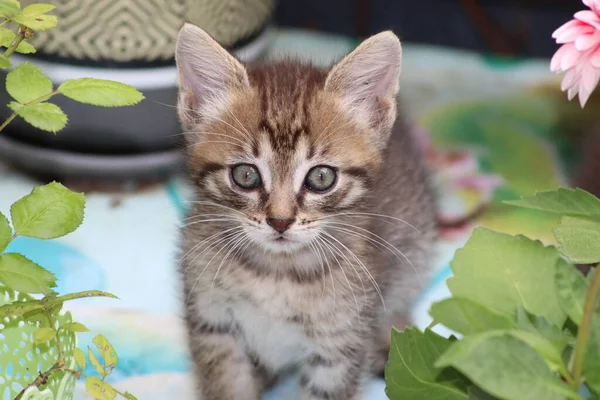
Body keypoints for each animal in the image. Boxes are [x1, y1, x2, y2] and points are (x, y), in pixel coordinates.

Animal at [176, 22, 438, 400]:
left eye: (321, 177)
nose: (280, 221)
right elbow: (228, 385)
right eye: (245, 175)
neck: (276, 273)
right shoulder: (213, 323)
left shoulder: (339, 345)